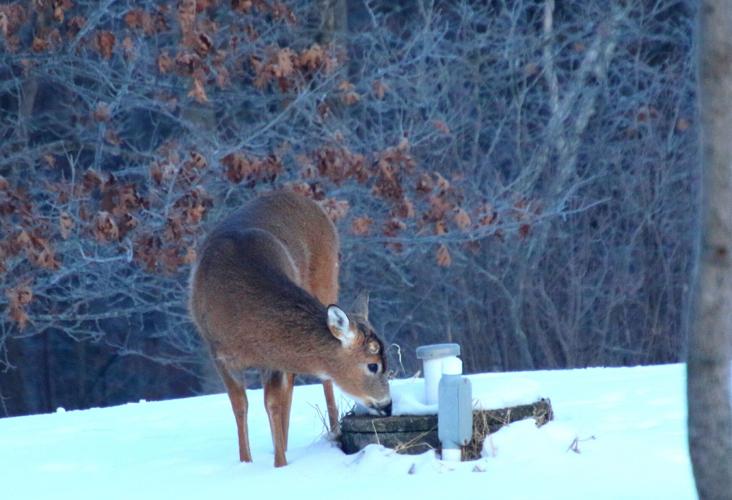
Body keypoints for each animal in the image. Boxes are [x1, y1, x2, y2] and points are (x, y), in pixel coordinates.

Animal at [189, 190, 392, 467]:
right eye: (373, 365)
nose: (388, 405)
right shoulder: (218, 353)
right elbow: (240, 405)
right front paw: (246, 462)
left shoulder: (272, 358)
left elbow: (273, 402)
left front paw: (280, 464)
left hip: (327, 276)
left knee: (315, 382)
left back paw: (331, 431)